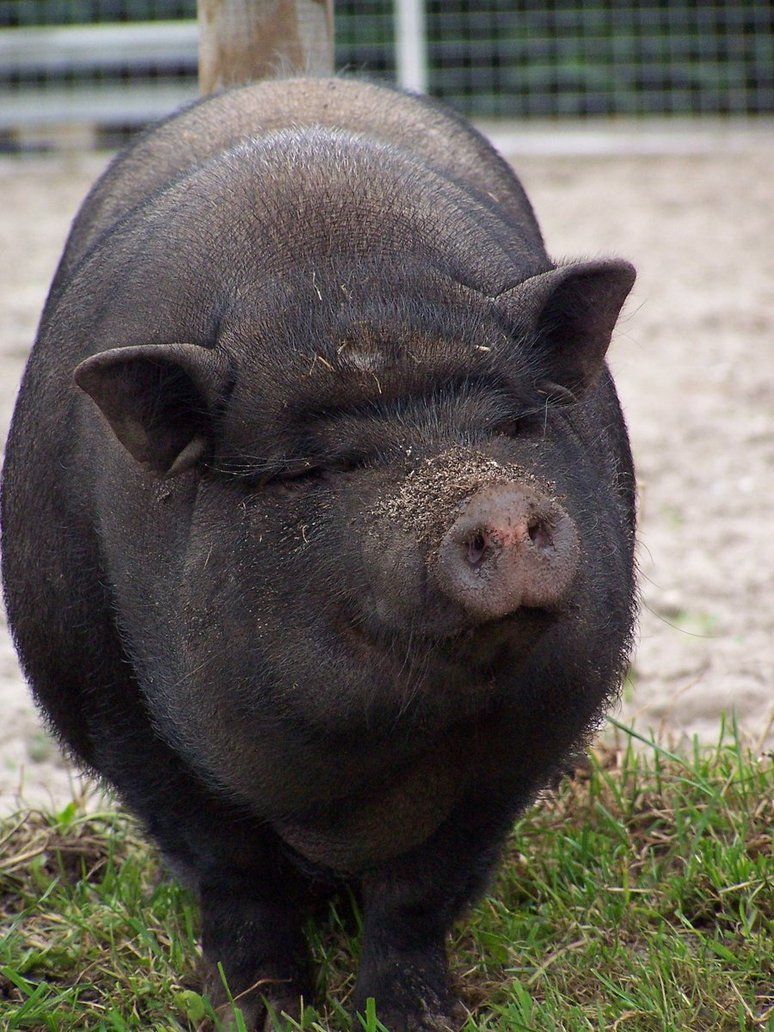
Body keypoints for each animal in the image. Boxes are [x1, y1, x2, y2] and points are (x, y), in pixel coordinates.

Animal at [1, 77, 637, 1031]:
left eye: (515, 426)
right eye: (324, 467)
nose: (500, 508)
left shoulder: (527, 737)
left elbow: (423, 889)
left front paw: (416, 1017)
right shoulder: (114, 708)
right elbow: (231, 873)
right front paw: (258, 1013)